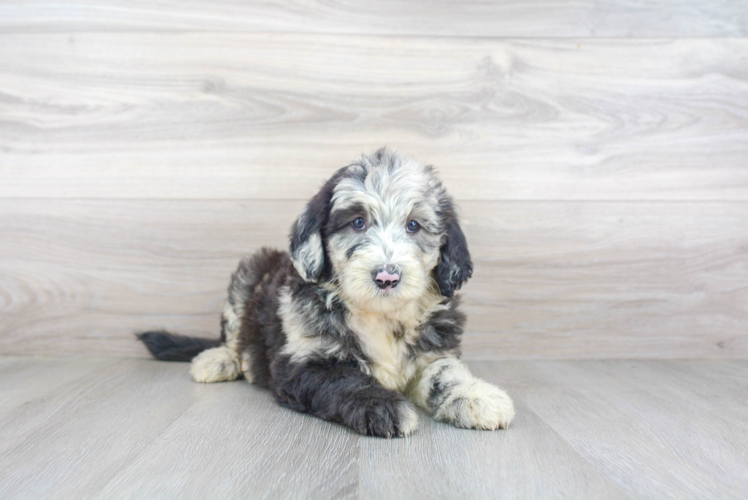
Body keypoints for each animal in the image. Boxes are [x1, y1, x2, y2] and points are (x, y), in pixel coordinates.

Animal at [139, 148, 516, 438]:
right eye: (358, 222)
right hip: (247, 275)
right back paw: (218, 359)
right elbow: (345, 380)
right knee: (233, 334)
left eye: (414, 225)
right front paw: (383, 406)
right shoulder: (303, 362)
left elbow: (445, 374)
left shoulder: (433, 351)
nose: (387, 276)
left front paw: (478, 396)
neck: (379, 315)